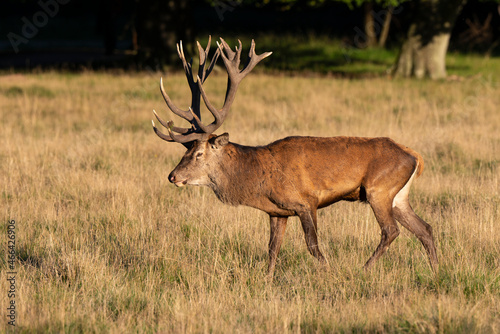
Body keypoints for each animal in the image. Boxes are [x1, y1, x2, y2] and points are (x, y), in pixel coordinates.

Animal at [151, 36, 438, 276]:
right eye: (185, 151)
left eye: (199, 153)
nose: (172, 176)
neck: (258, 179)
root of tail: (414, 156)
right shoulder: (277, 212)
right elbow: (272, 248)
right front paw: (267, 279)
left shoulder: (305, 201)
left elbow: (313, 245)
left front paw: (329, 272)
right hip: (398, 195)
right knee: (425, 228)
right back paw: (436, 270)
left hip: (379, 188)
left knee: (390, 231)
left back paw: (364, 269)